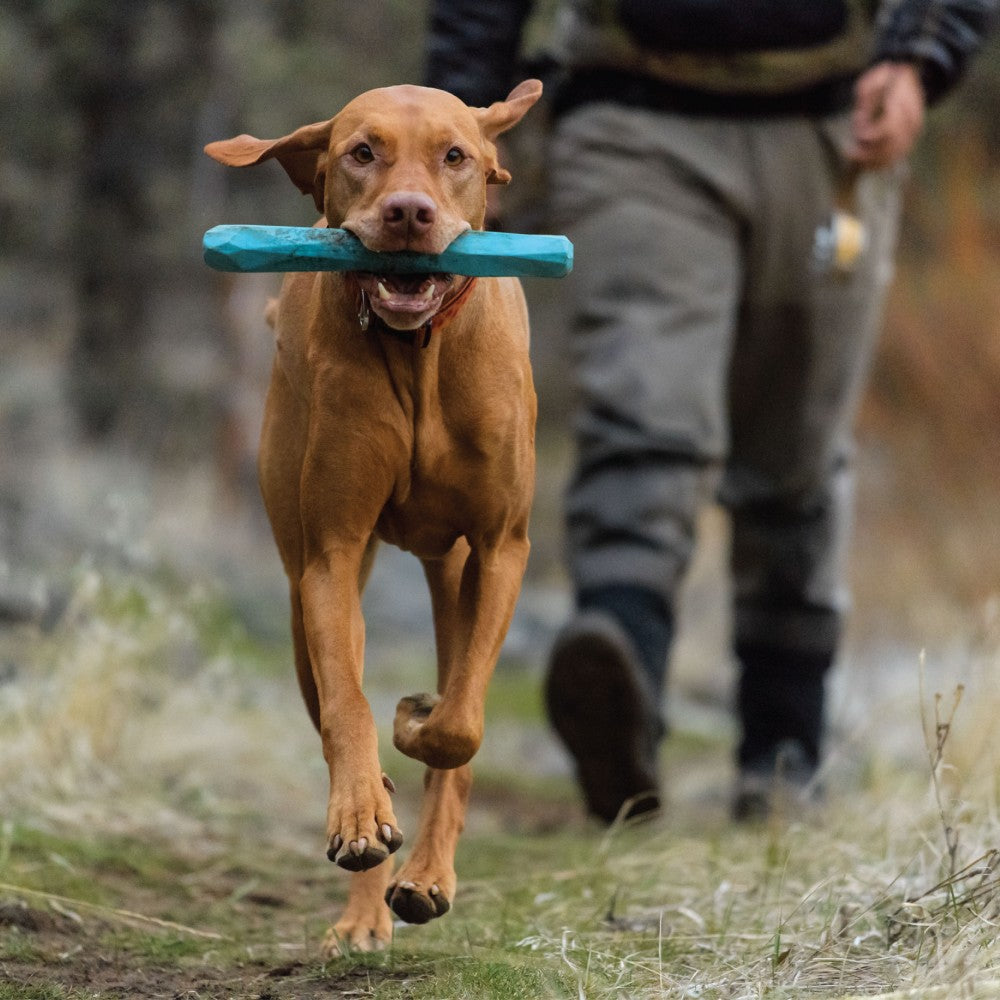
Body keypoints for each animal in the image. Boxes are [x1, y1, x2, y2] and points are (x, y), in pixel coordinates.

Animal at [205, 80, 540, 952]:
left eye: (455, 155)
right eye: (362, 152)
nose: (409, 213)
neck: (418, 354)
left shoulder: (501, 547)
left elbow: (458, 727)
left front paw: (418, 719)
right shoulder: (331, 553)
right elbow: (348, 709)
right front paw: (362, 815)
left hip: (453, 573)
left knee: (460, 714)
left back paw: (426, 877)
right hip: (300, 597)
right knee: (332, 707)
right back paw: (367, 899)